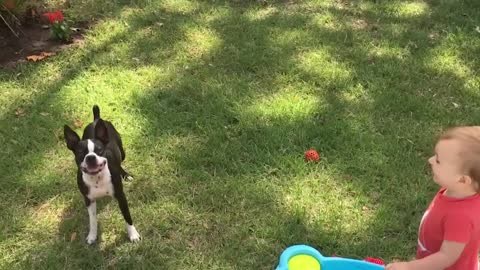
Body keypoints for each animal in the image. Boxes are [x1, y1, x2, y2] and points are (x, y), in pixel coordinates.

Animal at [63, 105, 140, 245]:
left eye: (99, 150)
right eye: (80, 152)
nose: (90, 157)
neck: (97, 179)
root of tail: (97, 119)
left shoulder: (121, 197)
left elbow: (127, 216)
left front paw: (133, 235)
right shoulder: (89, 200)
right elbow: (92, 220)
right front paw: (92, 236)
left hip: (122, 151)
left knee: (120, 162)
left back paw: (126, 175)